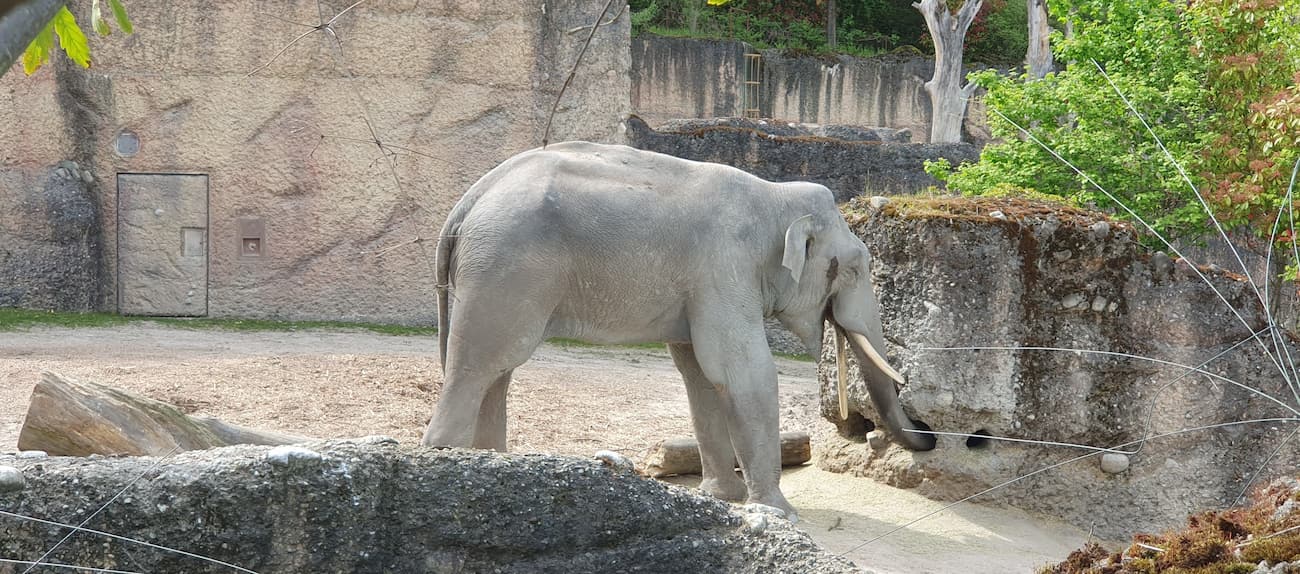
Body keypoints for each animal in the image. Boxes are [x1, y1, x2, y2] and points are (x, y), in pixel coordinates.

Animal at [426, 140, 935, 519]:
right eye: (854, 269)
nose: (928, 434)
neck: (774, 195)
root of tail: (466, 203)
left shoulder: (704, 285)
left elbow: (699, 375)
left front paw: (721, 498)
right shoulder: (724, 266)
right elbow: (742, 372)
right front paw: (780, 514)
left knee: (496, 372)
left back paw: (494, 466)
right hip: (506, 270)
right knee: (481, 365)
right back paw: (447, 460)